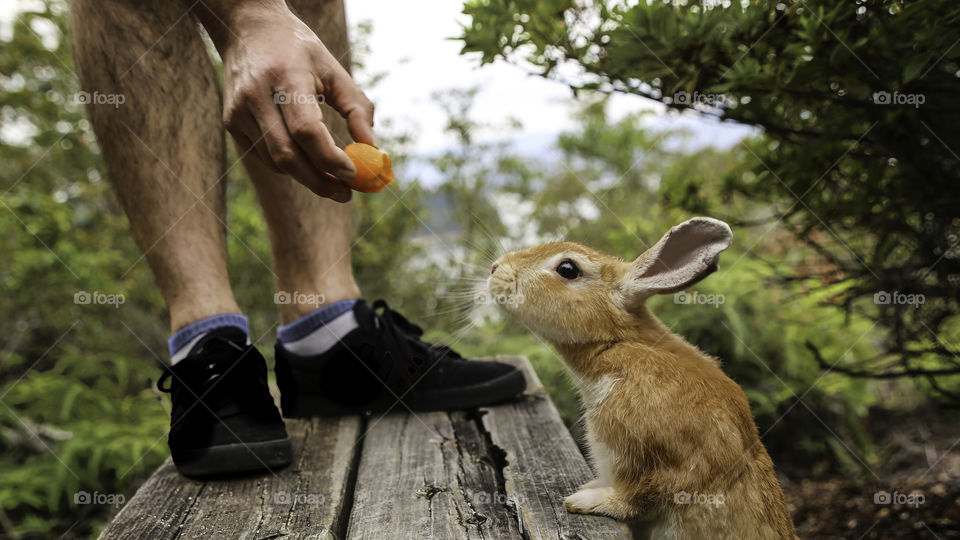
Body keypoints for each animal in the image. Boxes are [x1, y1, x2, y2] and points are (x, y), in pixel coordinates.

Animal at [487, 217, 796, 540]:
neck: (618, 342)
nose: (495, 269)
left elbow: (637, 496)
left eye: (568, 269)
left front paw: (586, 499)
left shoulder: (662, 462)